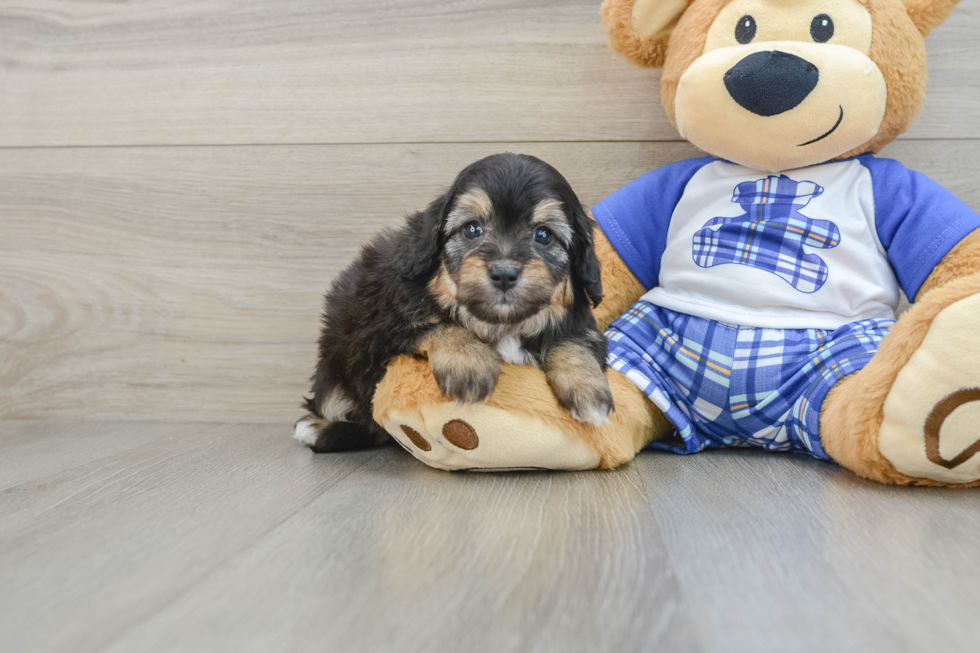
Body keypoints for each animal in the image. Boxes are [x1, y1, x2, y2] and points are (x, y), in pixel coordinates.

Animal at [290, 152, 612, 454]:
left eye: (543, 235)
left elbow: (572, 342)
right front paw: (468, 364)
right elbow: (441, 325)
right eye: (472, 229)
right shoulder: (380, 332)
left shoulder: (582, 324)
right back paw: (314, 430)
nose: (504, 273)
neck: (502, 326)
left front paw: (588, 389)